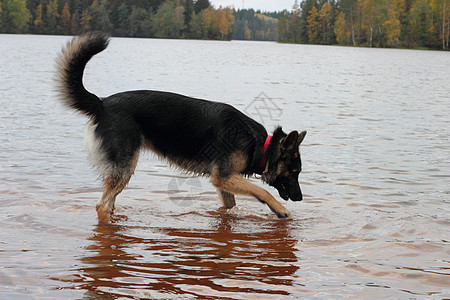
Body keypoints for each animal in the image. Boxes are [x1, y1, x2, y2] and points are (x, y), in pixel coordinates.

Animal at [54, 32, 304, 223]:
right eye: (294, 172)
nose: (300, 198)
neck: (261, 146)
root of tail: (102, 103)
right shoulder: (223, 177)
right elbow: (262, 191)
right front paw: (280, 209)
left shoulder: (224, 182)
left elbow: (230, 205)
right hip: (124, 168)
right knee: (102, 205)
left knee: (109, 202)